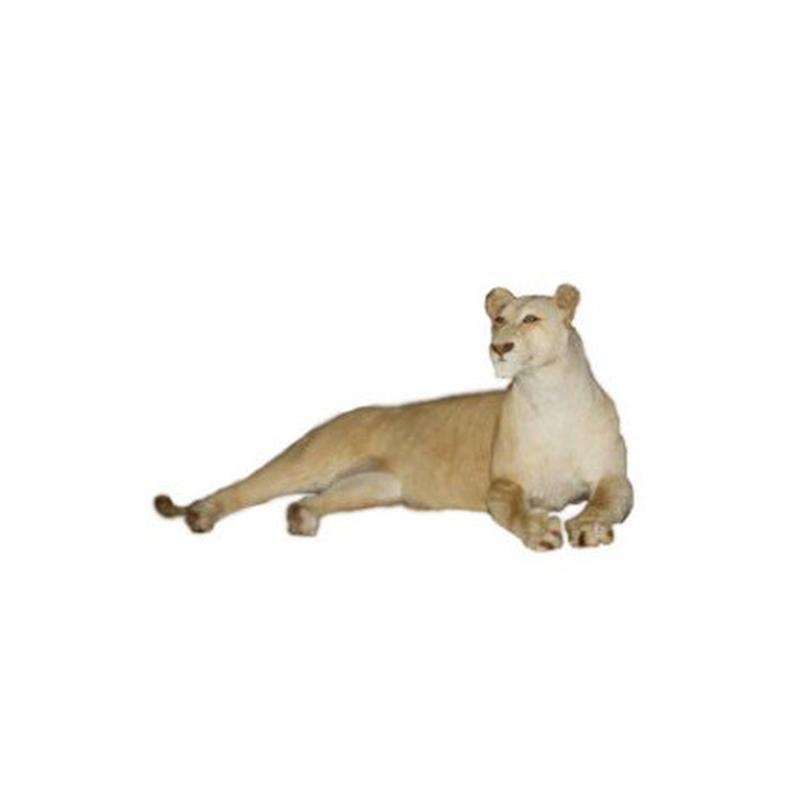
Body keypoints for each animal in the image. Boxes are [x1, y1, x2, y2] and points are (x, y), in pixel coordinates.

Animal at [155, 284, 633, 550]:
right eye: (498, 319)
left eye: (531, 318)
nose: (500, 347)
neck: (550, 394)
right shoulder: (501, 485)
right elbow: (515, 509)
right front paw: (541, 530)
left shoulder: (614, 476)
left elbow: (608, 500)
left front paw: (589, 527)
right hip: (309, 458)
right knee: (246, 488)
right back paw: (201, 515)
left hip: (377, 485)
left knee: (302, 502)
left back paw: (301, 520)